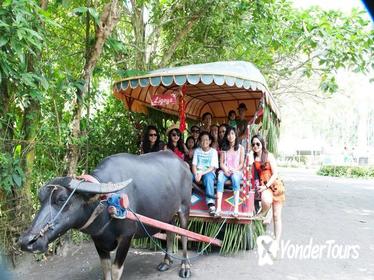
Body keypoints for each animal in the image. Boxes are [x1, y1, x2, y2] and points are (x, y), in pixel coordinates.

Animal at [19, 152, 191, 278]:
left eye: (61, 199)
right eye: (40, 199)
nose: (26, 242)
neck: (106, 203)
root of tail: (184, 165)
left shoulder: (126, 237)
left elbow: (115, 270)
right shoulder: (98, 239)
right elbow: (106, 269)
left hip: (184, 208)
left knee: (184, 235)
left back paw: (185, 267)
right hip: (169, 214)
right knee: (170, 232)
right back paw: (166, 262)